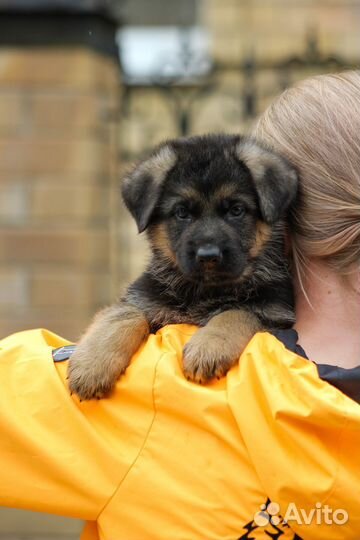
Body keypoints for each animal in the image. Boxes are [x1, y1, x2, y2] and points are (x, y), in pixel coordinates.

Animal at [68, 133, 298, 398]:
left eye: (236, 210)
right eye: (181, 212)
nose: (208, 256)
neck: (205, 292)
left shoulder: (274, 314)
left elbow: (237, 312)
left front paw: (209, 346)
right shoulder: (144, 299)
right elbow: (123, 315)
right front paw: (92, 365)